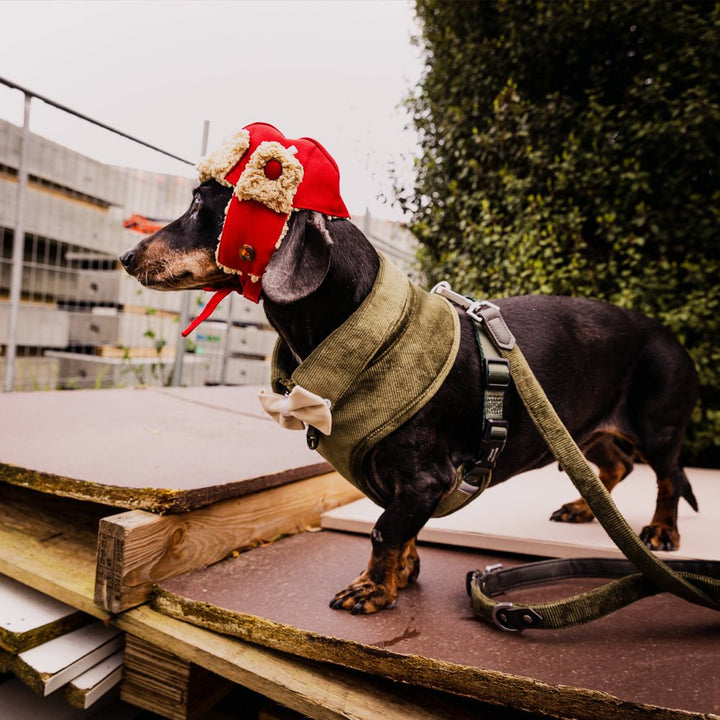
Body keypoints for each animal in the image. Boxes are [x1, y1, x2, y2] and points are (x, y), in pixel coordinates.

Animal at [121, 179, 700, 612]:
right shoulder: (405, 484)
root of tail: (673, 337)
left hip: (658, 428)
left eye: (201, 204)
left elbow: (383, 530)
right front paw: (402, 573)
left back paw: (660, 532)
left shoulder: (425, 477)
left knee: (668, 478)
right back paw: (583, 508)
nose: (126, 256)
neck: (367, 331)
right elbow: (402, 528)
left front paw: (373, 589)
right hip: (581, 430)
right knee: (615, 466)